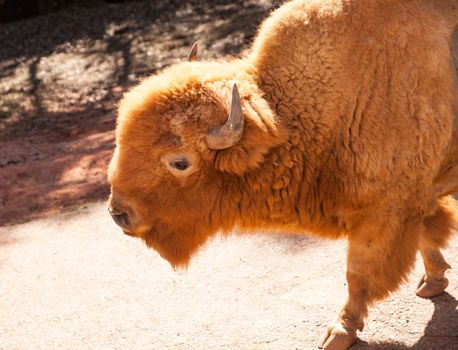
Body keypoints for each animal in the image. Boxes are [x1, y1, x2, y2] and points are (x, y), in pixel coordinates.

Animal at [108, 1, 458, 348]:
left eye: (180, 162)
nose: (119, 214)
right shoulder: (413, 199)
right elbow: (426, 236)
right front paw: (433, 281)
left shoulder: (386, 210)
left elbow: (358, 273)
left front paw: (339, 331)